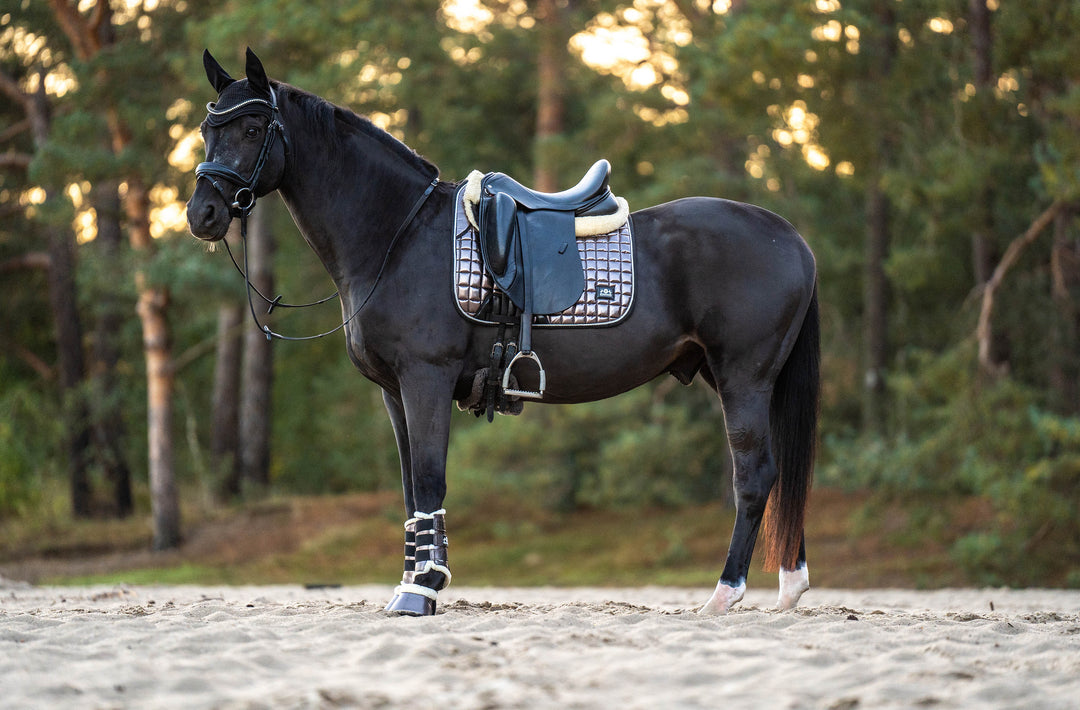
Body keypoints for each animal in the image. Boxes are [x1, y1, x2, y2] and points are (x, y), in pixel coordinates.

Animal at [185, 49, 816, 613]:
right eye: (206, 129)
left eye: (251, 128)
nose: (201, 215)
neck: (397, 235)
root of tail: (790, 236)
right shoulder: (394, 392)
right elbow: (412, 487)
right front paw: (414, 581)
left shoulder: (426, 380)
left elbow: (430, 478)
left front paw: (421, 592)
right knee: (782, 471)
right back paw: (790, 586)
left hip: (743, 378)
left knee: (756, 475)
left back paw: (724, 593)